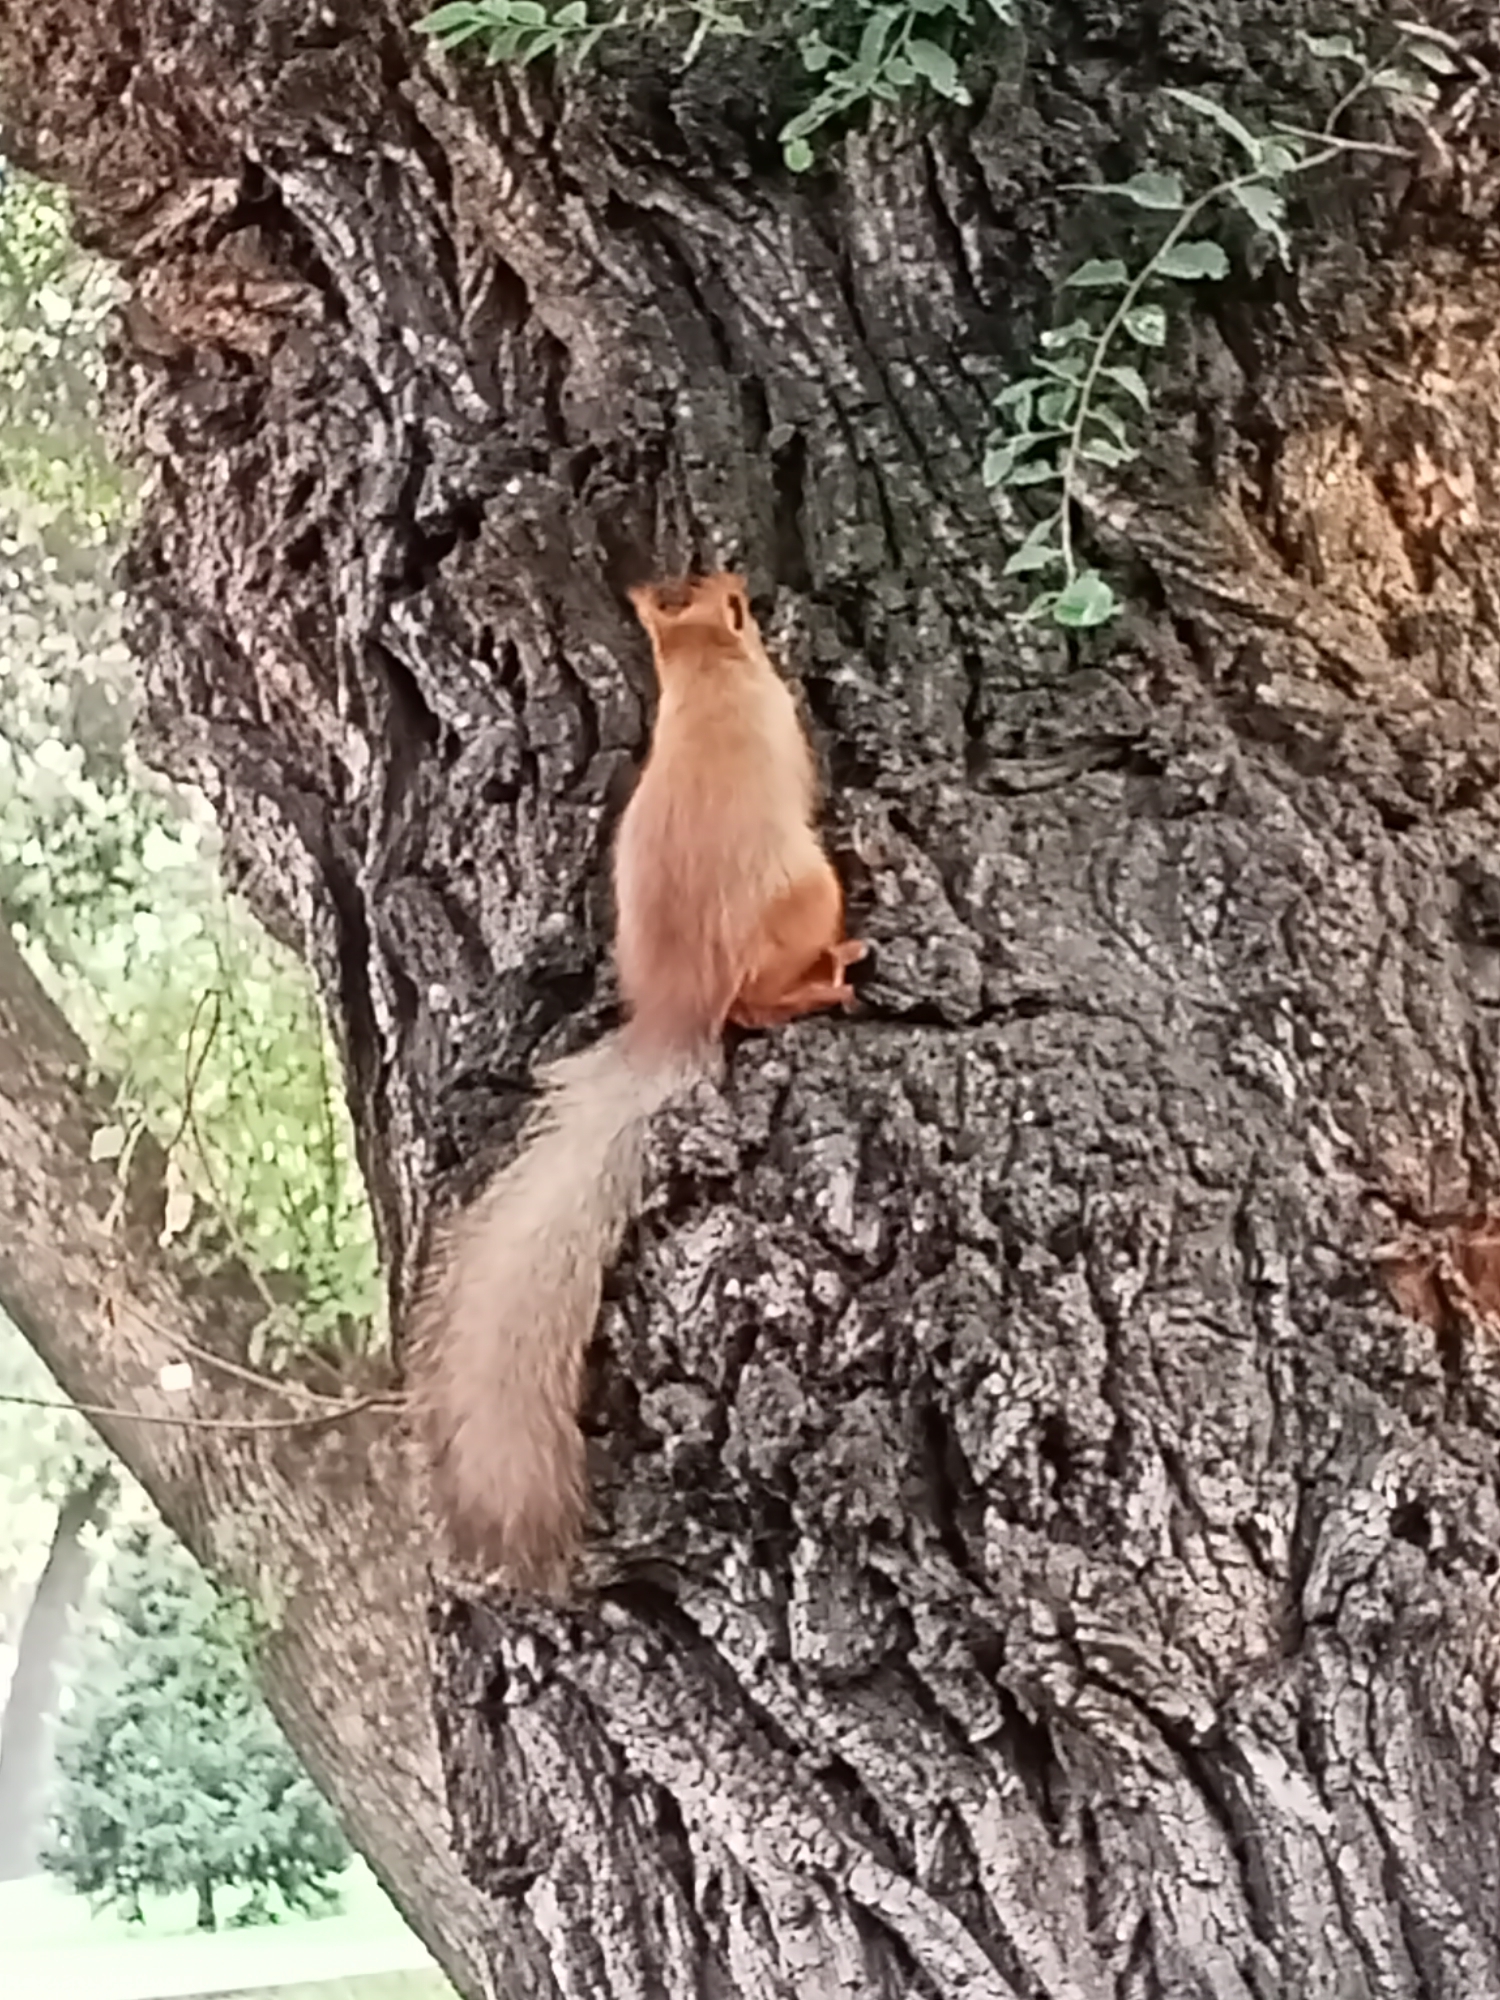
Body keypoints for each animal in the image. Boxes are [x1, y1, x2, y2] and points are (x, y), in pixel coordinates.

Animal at [408, 572, 867, 1594]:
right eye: (733, 604)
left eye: (689, 593)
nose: (736, 579)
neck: (703, 675)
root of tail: (673, 1019)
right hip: (808, 894)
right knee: (764, 1001)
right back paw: (836, 970)